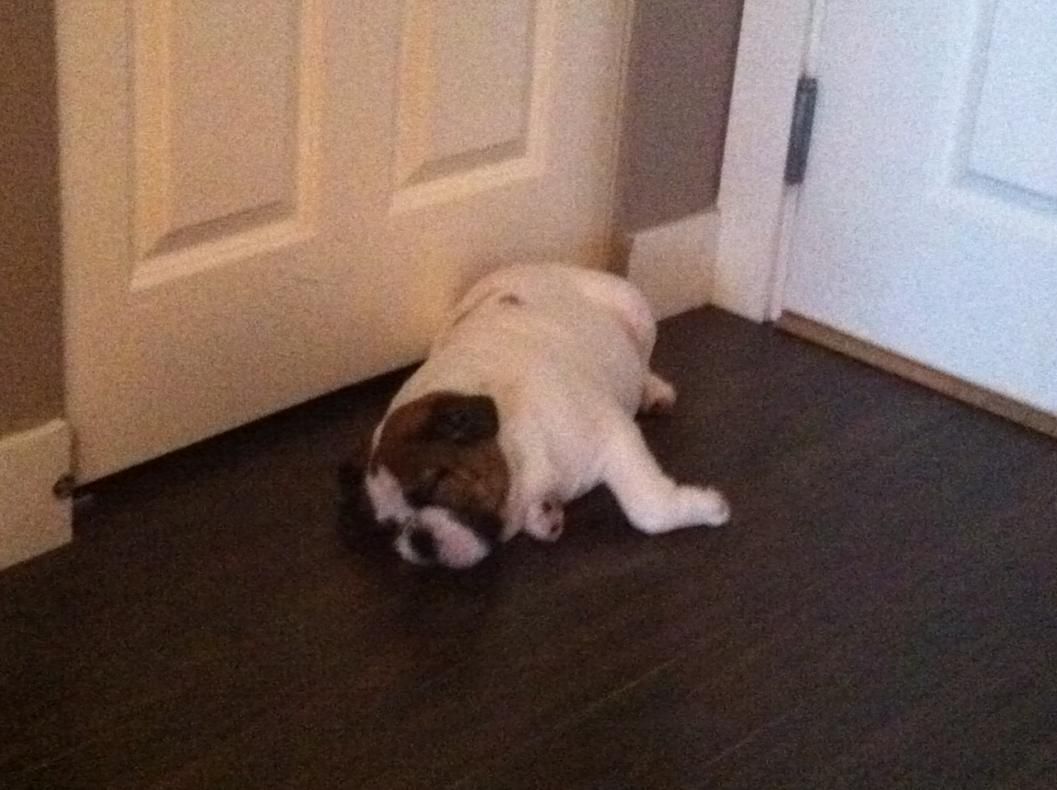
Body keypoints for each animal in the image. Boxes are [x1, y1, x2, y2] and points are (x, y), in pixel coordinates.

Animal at [342, 263, 730, 569]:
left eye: (434, 485)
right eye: (391, 526)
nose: (418, 538)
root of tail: (543, 265)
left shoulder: (613, 437)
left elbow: (647, 508)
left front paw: (708, 508)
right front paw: (543, 516)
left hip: (636, 310)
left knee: (643, 359)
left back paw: (652, 390)